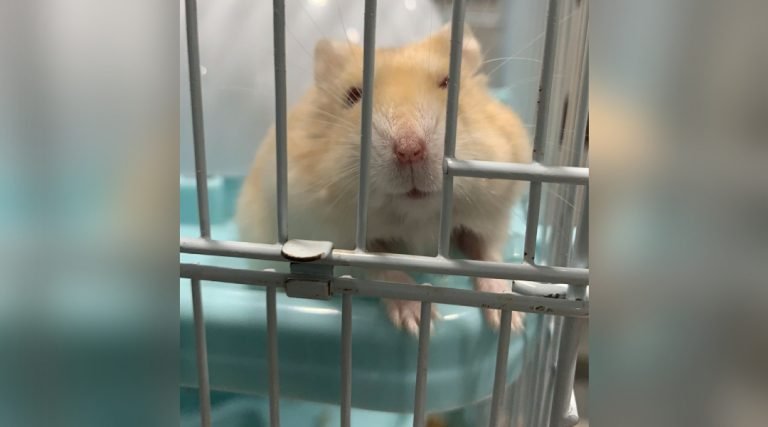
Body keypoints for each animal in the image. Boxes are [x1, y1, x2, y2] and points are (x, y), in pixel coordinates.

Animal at [237, 24, 532, 335]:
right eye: (354, 96)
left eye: (448, 83)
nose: (409, 150)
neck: (417, 215)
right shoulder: (334, 238)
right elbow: (384, 270)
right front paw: (418, 322)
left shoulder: (488, 220)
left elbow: (486, 256)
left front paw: (509, 319)